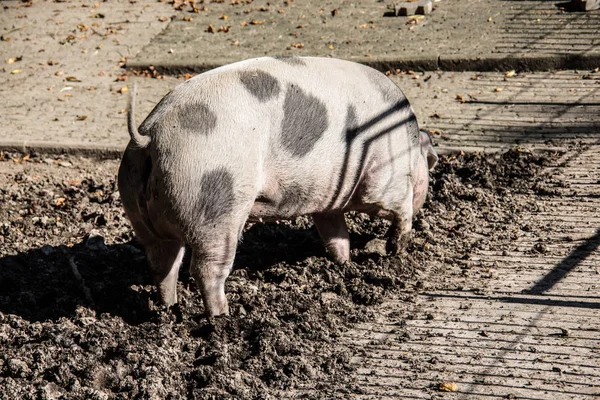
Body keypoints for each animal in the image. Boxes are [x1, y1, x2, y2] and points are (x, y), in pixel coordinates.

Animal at [118, 56, 436, 318]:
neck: (409, 148)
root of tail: (150, 137)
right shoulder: (383, 180)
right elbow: (398, 209)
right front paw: (396, 249)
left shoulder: (326, 202)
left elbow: (335, 234)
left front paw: (344, 264)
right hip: (214, 204)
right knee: (206, 270)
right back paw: (223, 317)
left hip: (140, 211)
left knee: (161, 263)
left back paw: (169, 309)